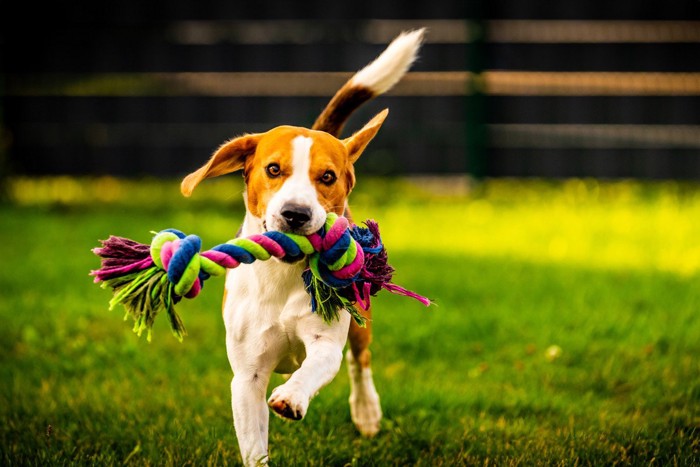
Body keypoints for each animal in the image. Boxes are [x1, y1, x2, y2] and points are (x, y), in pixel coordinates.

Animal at [178, 30, 424, 467]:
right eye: (273, 169)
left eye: (327, 177)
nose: (295, 213)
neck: (283, 275)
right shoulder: (247, 375)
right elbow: (254, 444)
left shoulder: (325, 340)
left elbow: (317, 366)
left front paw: (291, 397)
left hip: (360, 318)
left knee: (360, 361)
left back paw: (366, 411)